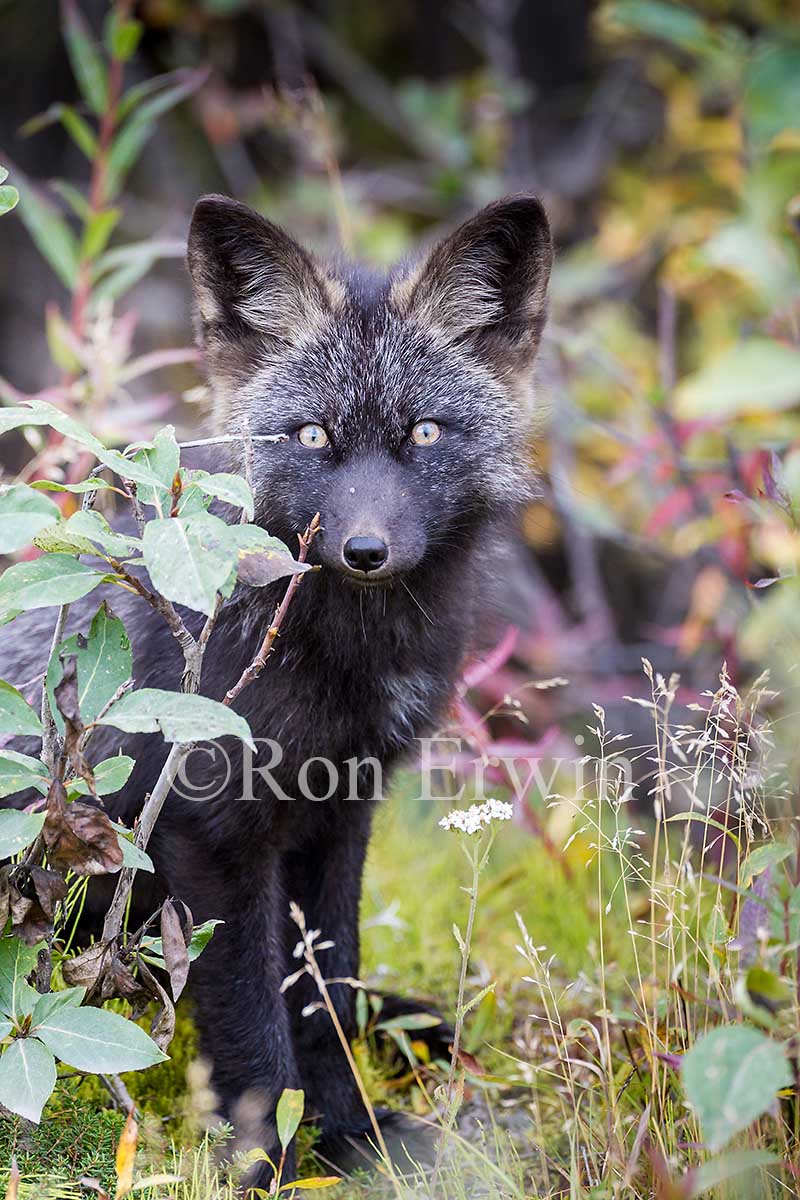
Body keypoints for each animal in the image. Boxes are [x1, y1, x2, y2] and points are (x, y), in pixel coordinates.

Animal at [0, 194, 551, 1180]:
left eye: (423, 433)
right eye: (312, 437)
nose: (365, 550)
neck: (341, 660)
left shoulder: (340, 812)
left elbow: (324, 984)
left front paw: (351, 1132)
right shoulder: (212, 833)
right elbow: (256, 1023)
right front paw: (278, 1157)